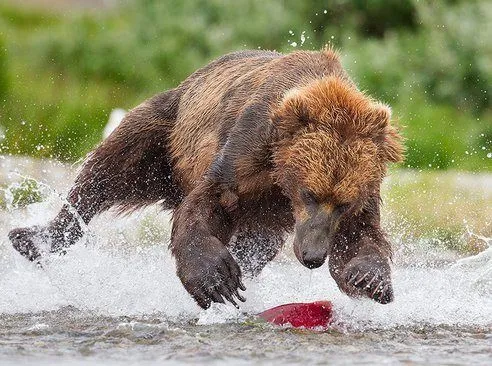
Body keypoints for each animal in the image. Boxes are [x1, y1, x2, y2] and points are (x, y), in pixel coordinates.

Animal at [8, 47, 404, 308]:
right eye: (310, 193)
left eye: (343, 203)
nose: (312, 256)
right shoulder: (248, 148)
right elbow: (209, 202)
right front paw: (216, 280)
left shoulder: (361, 188)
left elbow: (359, 237)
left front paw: (369, 277)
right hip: (167, 133)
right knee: (109, 170)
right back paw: (35, 237)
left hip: (261, 215)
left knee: (258, 244)